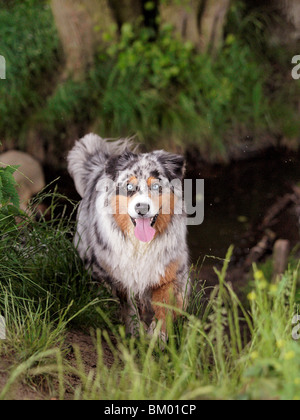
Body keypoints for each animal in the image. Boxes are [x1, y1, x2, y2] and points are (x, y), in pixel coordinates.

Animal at [68, 135, 190, 342]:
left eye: (155, 186)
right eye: (129, 187)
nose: (142, 208)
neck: (140, 245)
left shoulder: (170, 272)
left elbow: (166, 305)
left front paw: (158, 337)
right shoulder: (121, 277)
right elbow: (130, 307)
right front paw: (135, 333)